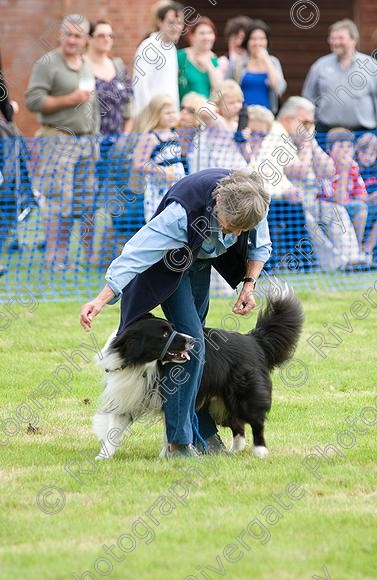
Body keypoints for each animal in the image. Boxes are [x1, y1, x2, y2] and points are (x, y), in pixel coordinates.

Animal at [93, 284, 302, 460]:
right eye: (164, 334)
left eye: (173, 328)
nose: (192, 341)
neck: (141, 364)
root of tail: (254, 340)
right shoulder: (127, 394)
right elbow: (114, 430)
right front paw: (103, 458)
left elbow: (171, 427)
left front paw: (170, 455)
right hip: (220, 402)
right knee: (237, 424)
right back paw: (233, 451)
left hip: (243, 392)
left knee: (255, 419)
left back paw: (260, 451)